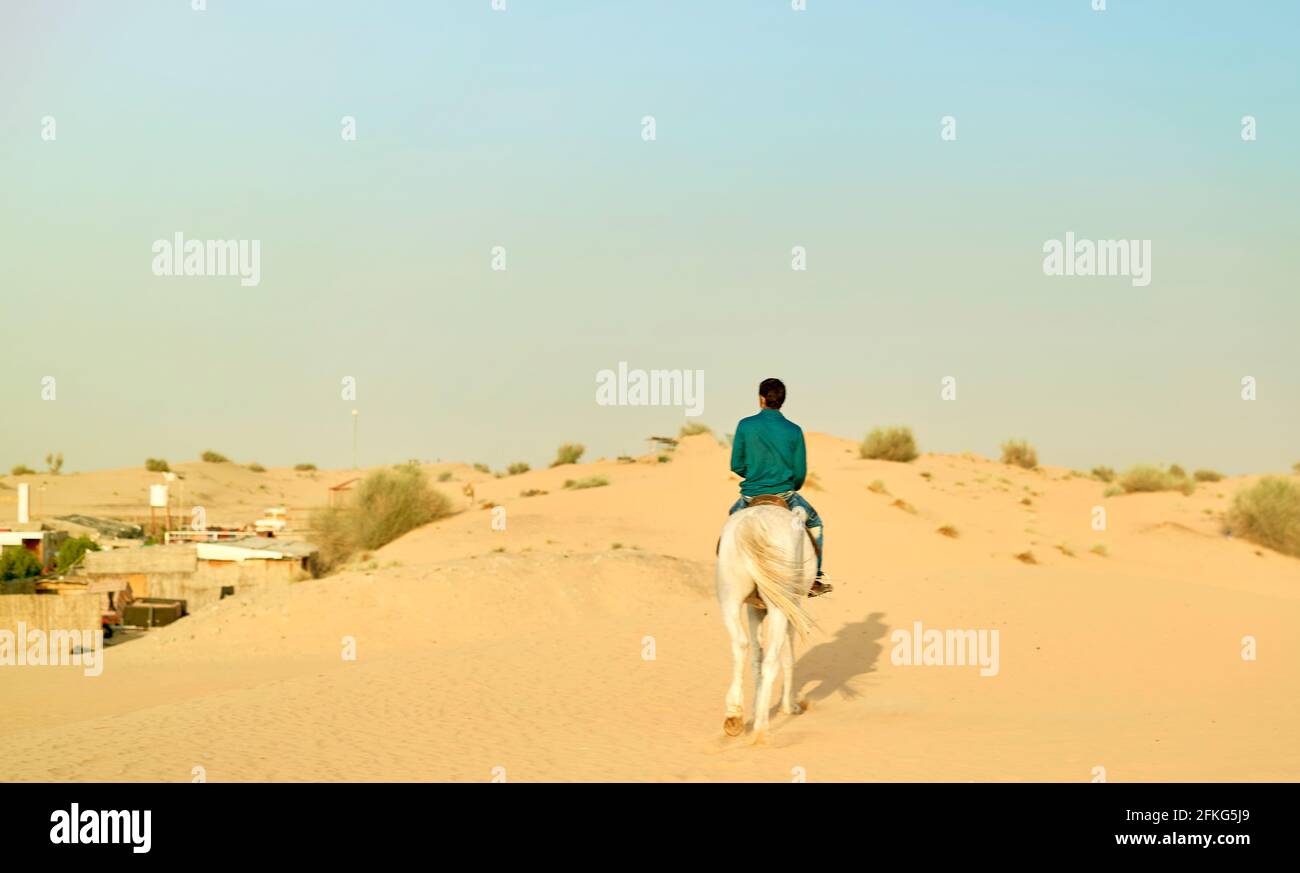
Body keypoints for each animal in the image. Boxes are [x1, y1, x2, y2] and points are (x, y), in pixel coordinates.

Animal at [722, 501, 811, 737]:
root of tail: (753, 522)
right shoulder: (793, 605)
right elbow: (787, 656)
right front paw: (789, 707)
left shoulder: (754, 608)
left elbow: (756, 656)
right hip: (780, 606)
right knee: (772, 659)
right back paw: (761, 729)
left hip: (729, 596)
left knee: (740, 643)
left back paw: (734, 716)